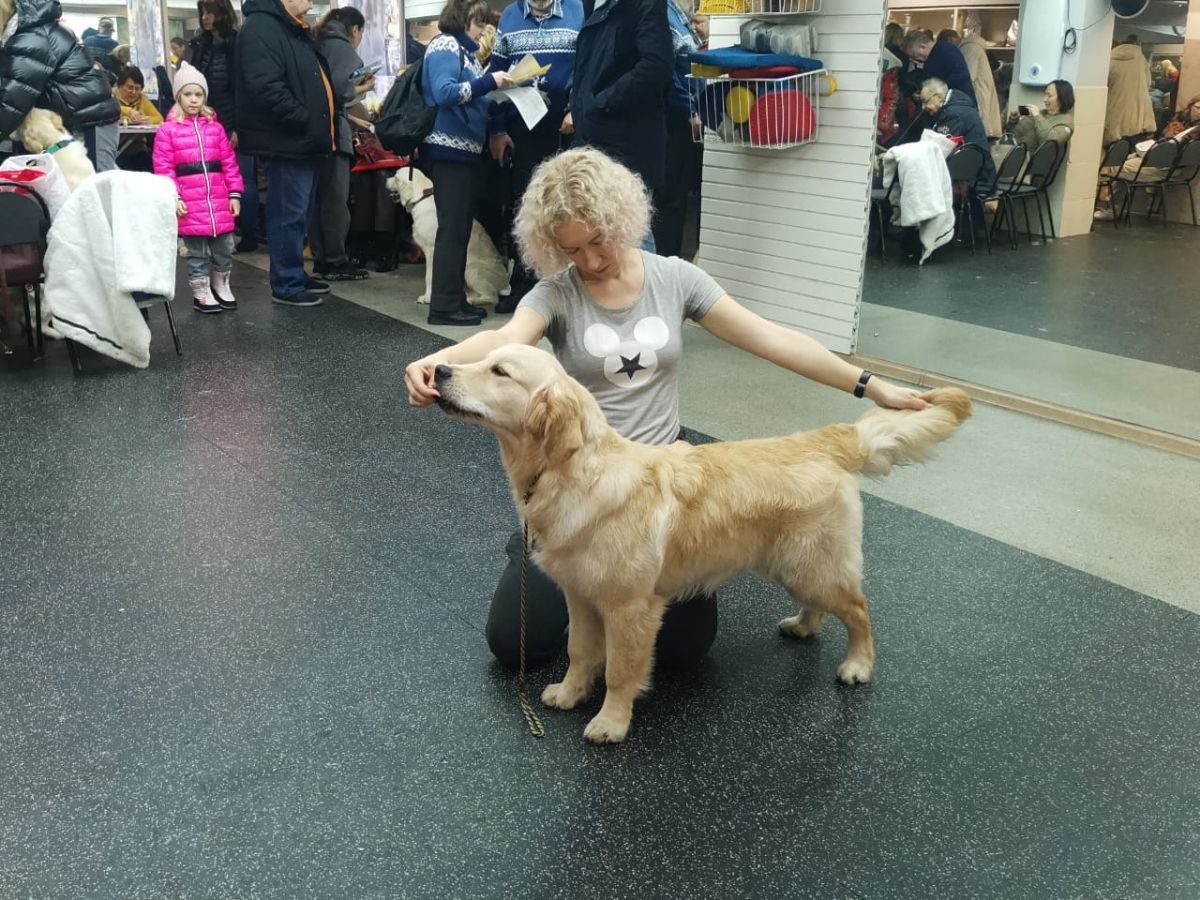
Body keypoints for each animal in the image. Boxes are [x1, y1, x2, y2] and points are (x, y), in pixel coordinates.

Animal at [386, 168, 508, 309]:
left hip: (471, 270)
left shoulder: (431, 251)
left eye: (396, 178)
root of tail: (506, 280)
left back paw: (471, 301)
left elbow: (429, 276)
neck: (422, 199)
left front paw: (427, 298)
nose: (386, 180)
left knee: (493, 297)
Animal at [434, 345, 974, 748]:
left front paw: (611, 722)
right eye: (484, 358)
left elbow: (621, 670)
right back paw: (802, 626)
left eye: (499, 371)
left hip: (814, 563)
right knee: (821, 606)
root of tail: (827, 440)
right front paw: (569, 693)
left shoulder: (631, 607)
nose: (438, 370)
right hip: (791, 563)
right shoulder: (581, 596)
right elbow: (580, 651)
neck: (572, 473)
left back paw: (859, 665)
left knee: (859, 610)